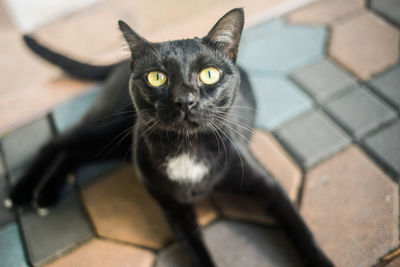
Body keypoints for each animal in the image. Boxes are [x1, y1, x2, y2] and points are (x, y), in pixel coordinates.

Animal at [5, 8, 334, 267]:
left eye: (210, 74)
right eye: (156, 77)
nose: (185, 100)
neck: (188, 149)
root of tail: (119, 62)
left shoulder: (269, 187)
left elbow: (302, 230)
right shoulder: (173, 208)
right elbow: (199, 254)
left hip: (117, 146)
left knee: (71, 153)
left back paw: (43, 195)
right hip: (109, 126)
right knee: (56, 142)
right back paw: (22, 193)